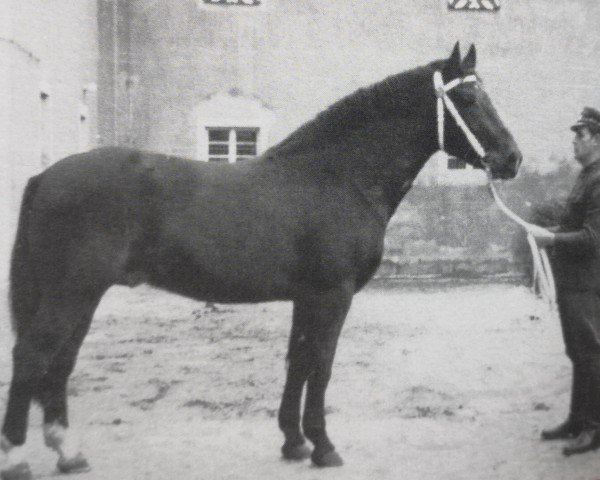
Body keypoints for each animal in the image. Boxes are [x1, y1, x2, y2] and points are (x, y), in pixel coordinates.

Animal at [0, 43, 520, 478]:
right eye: (469, 100)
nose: (512, 159)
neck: (338, 177)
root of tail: (45, 177)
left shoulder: (306, 298)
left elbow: (297, 362)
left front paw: (294, 442)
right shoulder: (332, 296)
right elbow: (321, 365)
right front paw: (324, 447)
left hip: (82, 296)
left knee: (60, 361)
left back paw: (67, 453)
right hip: (72, 293)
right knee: (32, 356)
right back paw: (18, 456)